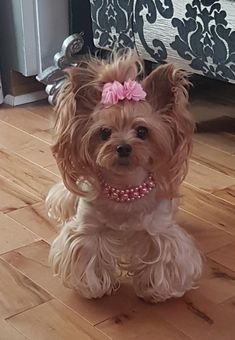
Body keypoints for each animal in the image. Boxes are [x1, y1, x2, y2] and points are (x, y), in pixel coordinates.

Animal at [46, 51, 202, 302]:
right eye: (104, 132)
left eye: (142, 131)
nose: (123, 147)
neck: (124, 188)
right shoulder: (88, 229)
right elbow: (87, 255)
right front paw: (93, 288)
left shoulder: (159, 230)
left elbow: (163, 259)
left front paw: (155, 292)